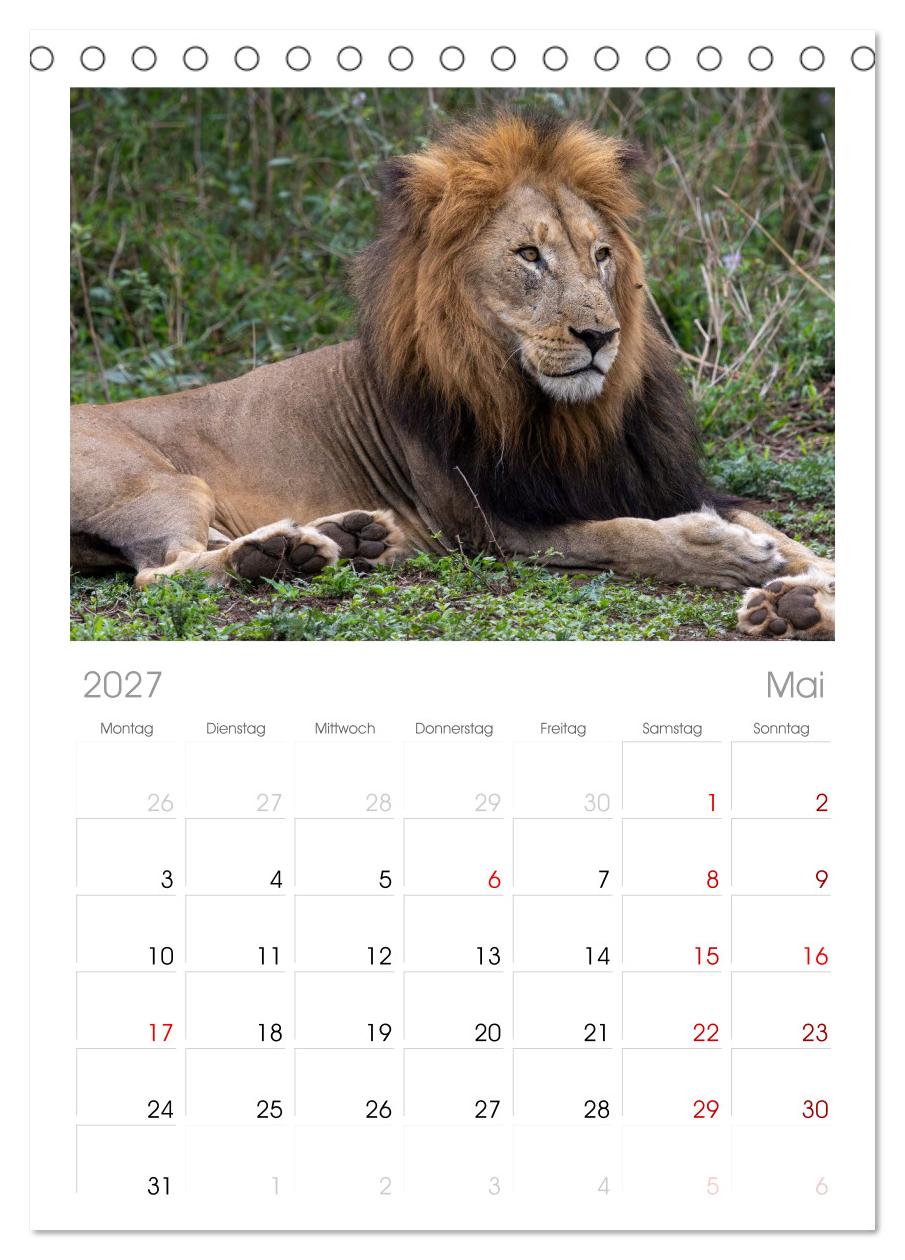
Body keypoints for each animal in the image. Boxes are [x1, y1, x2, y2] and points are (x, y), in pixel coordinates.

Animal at [71, 112, 834, 639]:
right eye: (529, 255)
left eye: (601, 255)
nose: (600, 336)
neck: (570, 416)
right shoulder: (490, 527)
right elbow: (625, 537)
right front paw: (728, 552)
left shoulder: (662, 481)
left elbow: (806, 546)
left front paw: (802, 597)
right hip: (161, 483)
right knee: (160, 573)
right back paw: (281, 554)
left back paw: (346, 538)